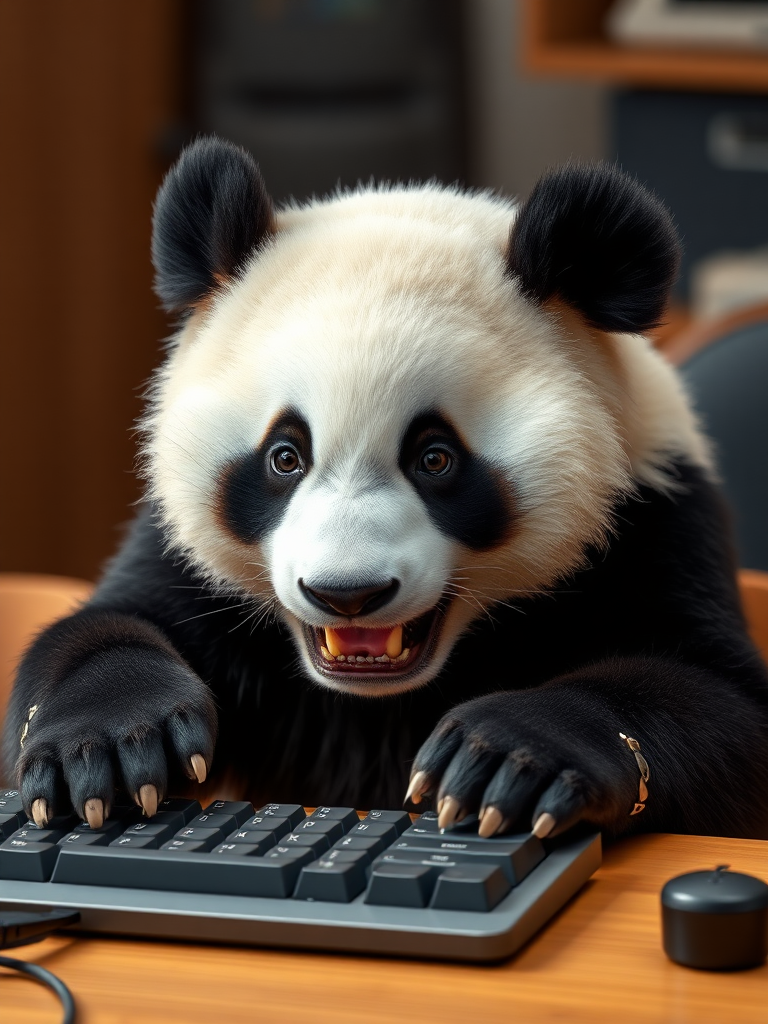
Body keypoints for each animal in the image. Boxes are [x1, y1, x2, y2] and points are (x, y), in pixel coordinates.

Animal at [6, 140, 768, 843]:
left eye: (435, 458)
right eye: (285, 457)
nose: (348, 594)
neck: (374, 696)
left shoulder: (653, 517)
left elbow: (719, 702)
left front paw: (507, 757)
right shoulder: (178, 557)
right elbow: (107, 626)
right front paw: (108, 746)